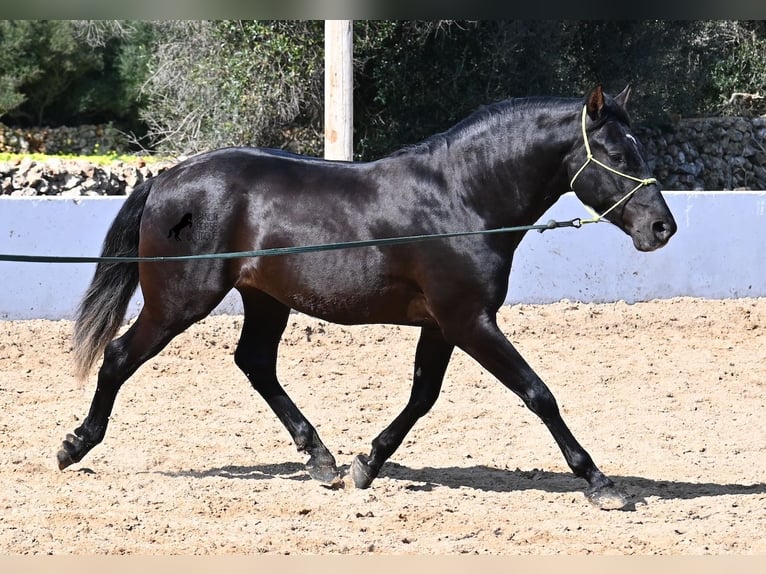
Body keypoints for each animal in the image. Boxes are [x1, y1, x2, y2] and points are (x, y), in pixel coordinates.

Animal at [55, 85, 680, 512]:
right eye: (616, 154)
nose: (662, 228)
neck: (462, 198)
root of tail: (165, 178)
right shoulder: (469, 321)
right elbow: (538, 393)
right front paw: (601, 483)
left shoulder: (443, 325)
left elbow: (423, 396)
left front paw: (365, 464)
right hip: (180, 301)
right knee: (119, 357)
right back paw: (74, 446)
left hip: (265, 299)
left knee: (255, 364)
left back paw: (321, 459)